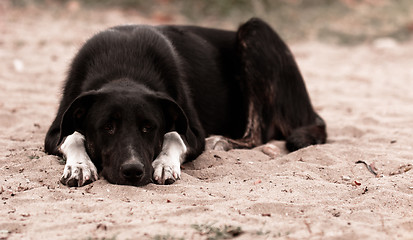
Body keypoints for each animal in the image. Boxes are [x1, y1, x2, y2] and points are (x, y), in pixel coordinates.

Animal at [44, 18, 326, 188]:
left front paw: (164, 164)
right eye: (107, 127)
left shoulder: (193, 131)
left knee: (257, 133)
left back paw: (221, 140)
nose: (133, 171)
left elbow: (175, 135)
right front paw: (79, 166)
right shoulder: (55, 131)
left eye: (149, 128)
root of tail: (309, 110)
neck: (124, 68)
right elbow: (73, 136)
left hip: (256, 30)